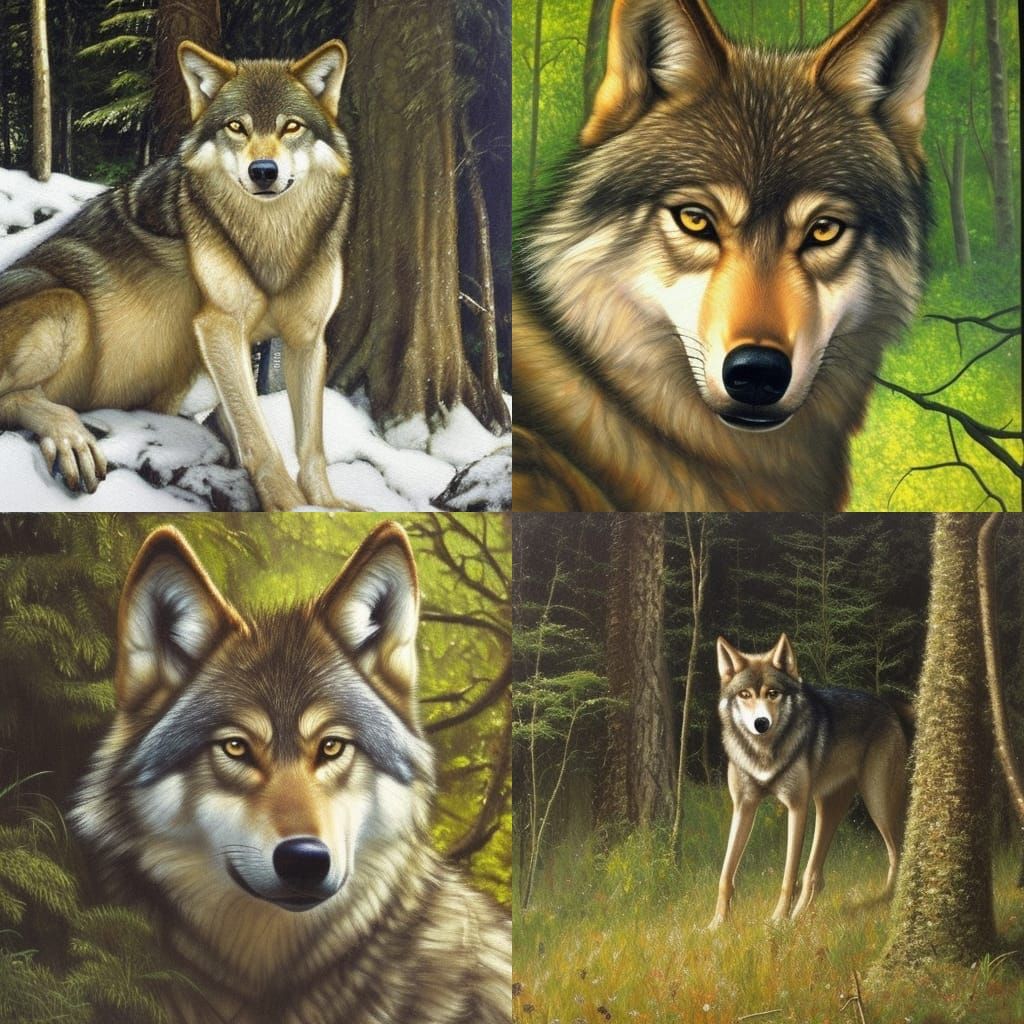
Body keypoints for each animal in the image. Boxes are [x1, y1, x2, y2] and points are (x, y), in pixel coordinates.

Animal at [0, 40, 358, 511]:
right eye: (236, 127)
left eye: (292, 127)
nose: (263, 171)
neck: (272, 242)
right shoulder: (218, 325)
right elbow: (256, 433)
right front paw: (289, 505)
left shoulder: (306, 338)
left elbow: (309, 442)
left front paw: (327, 505)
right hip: (68, 303)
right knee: (14, 398)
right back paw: (69, 436)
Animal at [710, 634, 911, 927]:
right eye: (745, 694)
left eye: (773, 693)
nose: (761, 723)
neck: (765, 754)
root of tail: (888, 706)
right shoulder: (743, 806)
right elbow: (726, 874)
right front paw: (716, 924)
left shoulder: (797, 806)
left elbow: (788, 874)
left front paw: (777, 921)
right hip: (828, 809)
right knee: (815, 874)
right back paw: (801, 918)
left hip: (878, 804)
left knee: (897, 853)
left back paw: (885, 903)